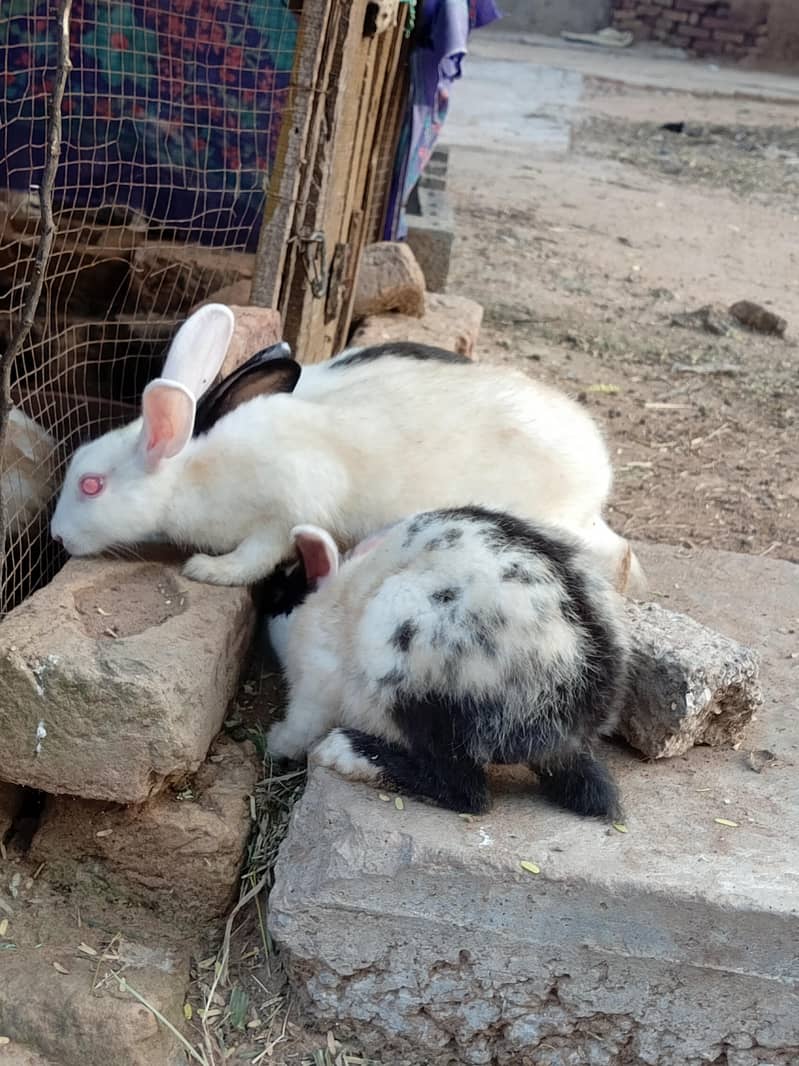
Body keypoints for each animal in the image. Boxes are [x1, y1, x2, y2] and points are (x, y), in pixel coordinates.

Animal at [50, 303, 645, 596]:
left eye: (91, 484)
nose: (56, 537)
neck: (191, 470)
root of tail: (596, 466)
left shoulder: (287, 507)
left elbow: (257, 555)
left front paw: (209, 572)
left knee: (618, 556)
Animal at [265, 506, 630, 818]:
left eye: (282, 595)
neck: (334, 595)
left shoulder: (315, 683)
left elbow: (299, 728)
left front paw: (274, 742)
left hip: (408, 678)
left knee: (467, 791)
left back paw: (343, 751)